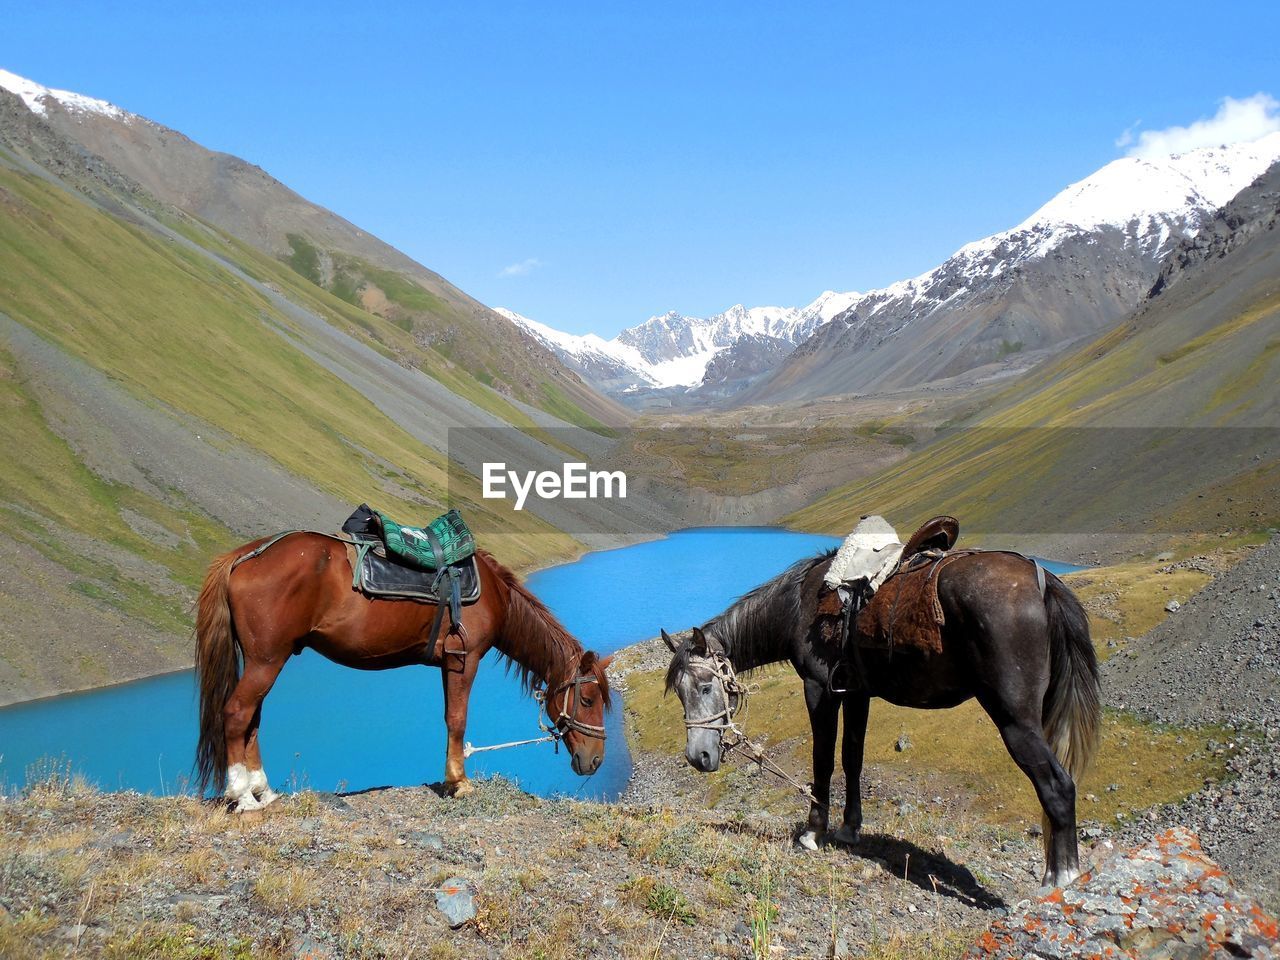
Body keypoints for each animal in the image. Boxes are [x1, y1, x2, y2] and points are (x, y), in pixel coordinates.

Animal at [190, 535, 609, 814]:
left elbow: (450, 717)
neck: (494, 596)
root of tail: (246, 555)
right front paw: (460, 783)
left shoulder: (448, 663)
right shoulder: (465, 659)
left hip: (265, 659)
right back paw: (243, 796)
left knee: (253, 719)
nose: (595, 762)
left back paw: (264, 791)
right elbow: (458, 719)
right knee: (237, 713)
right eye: (588, 699)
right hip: (266, 660)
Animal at [660, 547, 1100, 885]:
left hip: (1014, 720)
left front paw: (813, 832)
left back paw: (1060, 880)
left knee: (1058, 786)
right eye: (679, 693)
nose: (697, 758)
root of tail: (1041, 580)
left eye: (705, 686)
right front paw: (850, 828)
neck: (800, 605)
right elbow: (852, 758)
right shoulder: (857, 693)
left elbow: (823, 760)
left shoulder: (820, 690)